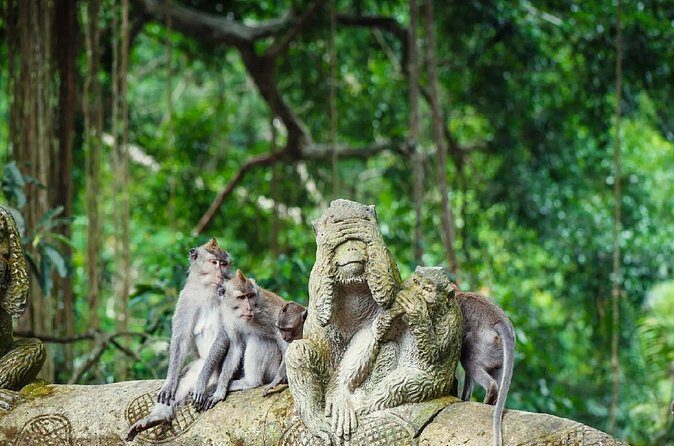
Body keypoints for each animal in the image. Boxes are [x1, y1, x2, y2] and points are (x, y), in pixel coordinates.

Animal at [125, 239, 232, 442]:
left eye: (224, 264)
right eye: (214, 262)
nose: (221, 274)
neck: (207, 289)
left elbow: (224, 336)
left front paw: (200, 385)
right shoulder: (186, 297)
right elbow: (181, 339)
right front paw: (169, 383)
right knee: (186, 375)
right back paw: (156, 418)